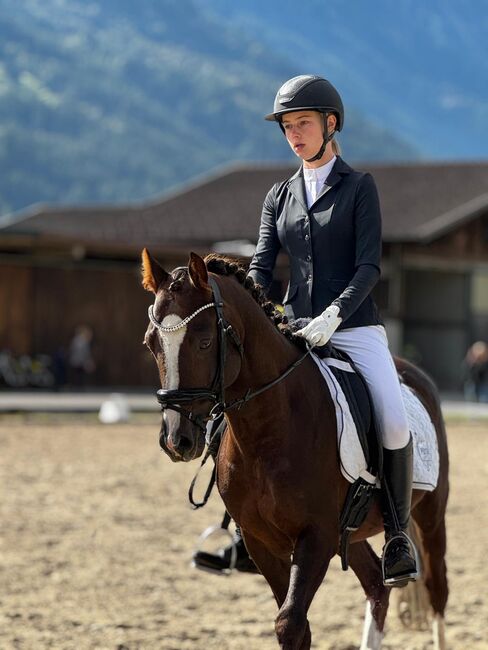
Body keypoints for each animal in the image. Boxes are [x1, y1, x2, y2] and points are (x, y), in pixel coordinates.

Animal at [141, 248, 449, 650]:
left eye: (205, 341)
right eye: (151, 343)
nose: (177, 441)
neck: (268, 431)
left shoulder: (316, 537)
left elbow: (289, 623)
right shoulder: (262, 541)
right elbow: (296, 625)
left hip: (431, 515)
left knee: (436, 589)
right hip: (349, 533)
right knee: (376, 586)